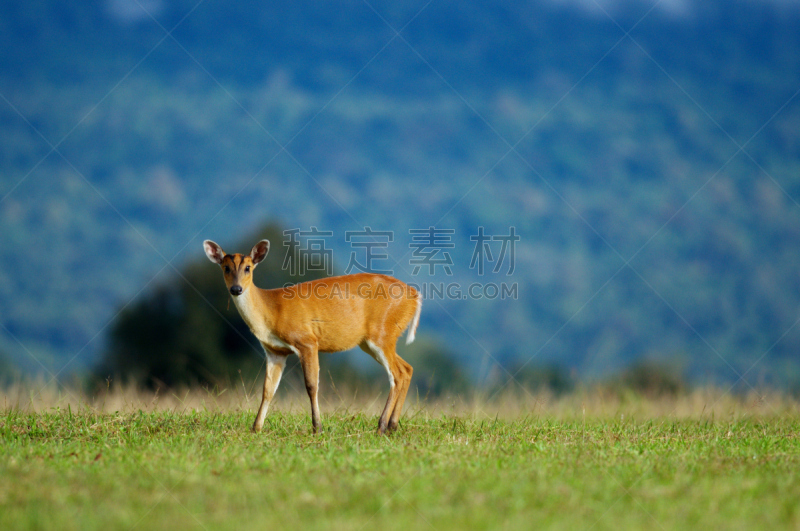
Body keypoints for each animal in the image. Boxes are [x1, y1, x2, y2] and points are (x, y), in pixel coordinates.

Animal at [203, 241, 422, 436]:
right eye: (225, 268)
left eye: (248, 268)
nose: (236, 289)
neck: (271, 311)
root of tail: (416, 296)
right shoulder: (275, 351)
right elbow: (268, 389)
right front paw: (256, 428)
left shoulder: (306, 340)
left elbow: (311, 385)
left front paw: (317, 428)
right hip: (371, 342)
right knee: (407, 369)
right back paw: (392, 426)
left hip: (382, 333)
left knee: (397, 374)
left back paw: (381, 427)